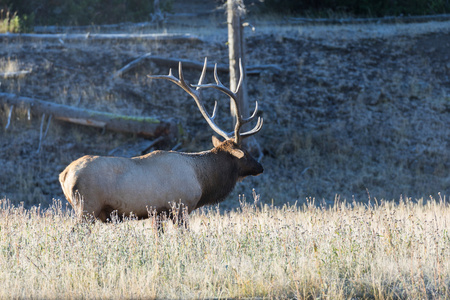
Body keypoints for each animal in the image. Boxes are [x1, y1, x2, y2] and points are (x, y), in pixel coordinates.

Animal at [59, 57, 264, 224]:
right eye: (245, 153)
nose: (260, 167)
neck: (202, 181)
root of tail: (65, 174)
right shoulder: (180, 207)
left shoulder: (157, 214)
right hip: (87, 207)